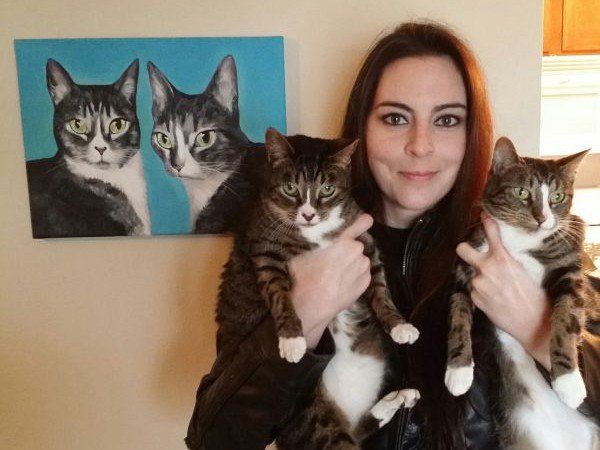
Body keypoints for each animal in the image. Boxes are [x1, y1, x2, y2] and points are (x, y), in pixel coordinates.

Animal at [216, 128, 420, 449]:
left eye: (327, 189)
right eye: (290, 188)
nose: (308, 215)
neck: (317, 233)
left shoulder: (366, 246)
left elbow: (381, 291)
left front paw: (400, 326)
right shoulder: (266, 253)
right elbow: (280, 295)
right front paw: (292, 340)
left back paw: (399, 398)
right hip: (314, 423)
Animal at [444, 137, 600, 449]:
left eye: (557, 198)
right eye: (521, 192)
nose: (542, 218)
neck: (516, 242)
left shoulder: (569, 269)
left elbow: (566, 317)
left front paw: (568, 382)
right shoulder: (466, 265)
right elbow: (458, 316)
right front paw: (458, 372)